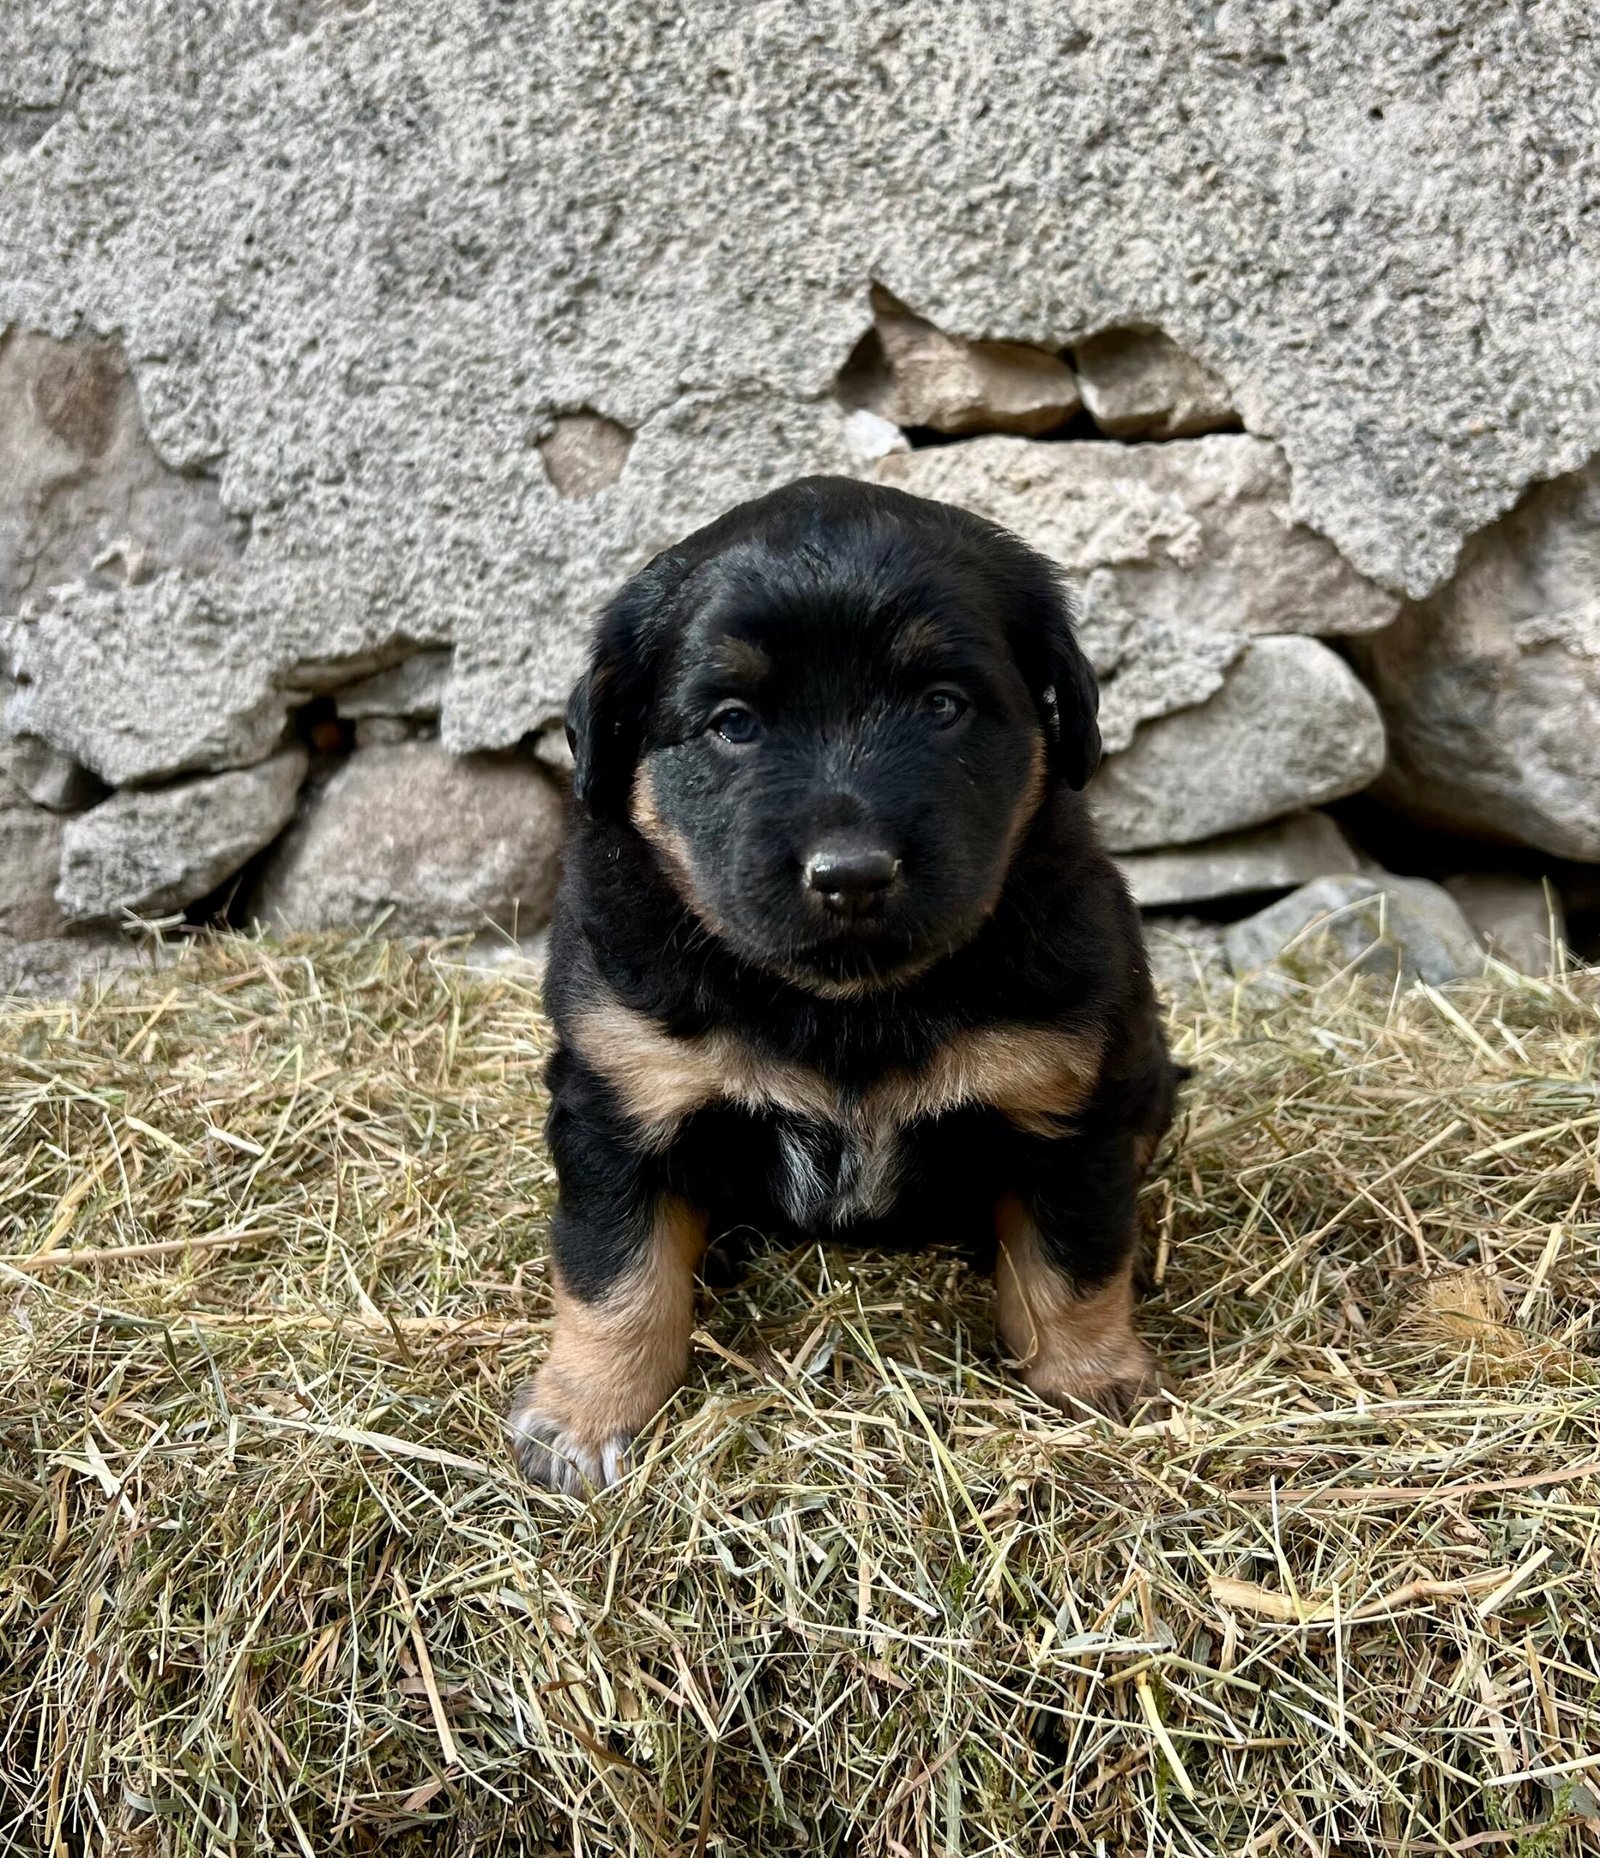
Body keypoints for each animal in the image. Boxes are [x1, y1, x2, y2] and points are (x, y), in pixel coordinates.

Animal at [508, 475, 1178, 1492]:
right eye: (733, 722)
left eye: (942, 704)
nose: (852, 874)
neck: (842, 1008)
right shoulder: (619, 1097)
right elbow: (611, 1271)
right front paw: (585, 1416)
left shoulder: (1072, 1107)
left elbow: (1076, 1259)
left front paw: (1091, 1380)